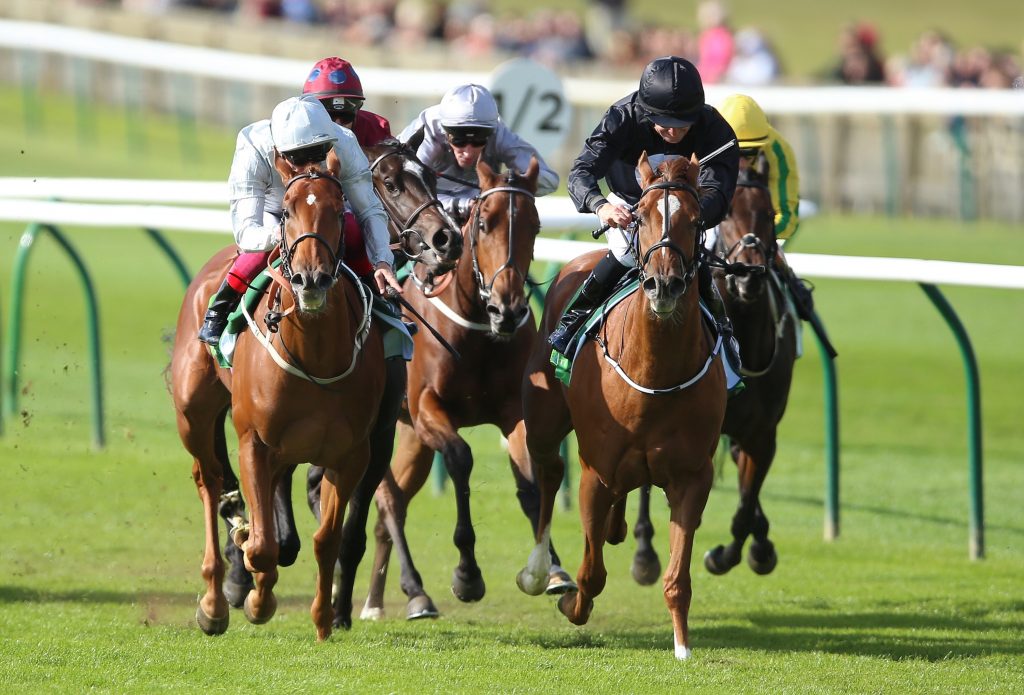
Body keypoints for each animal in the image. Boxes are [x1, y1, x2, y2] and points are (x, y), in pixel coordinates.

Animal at [171, 152, 385, 642]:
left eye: (337, 209)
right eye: (286, 211)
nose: (311, 279)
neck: (316, 357)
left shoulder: (351, 454)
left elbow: (326, 539)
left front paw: (323, 619)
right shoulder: (254, 440)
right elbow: (265, 545)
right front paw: (255, 599)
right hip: (194, 414)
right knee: (209, 482)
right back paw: (214, 600)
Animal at [362, 154, 577, 618]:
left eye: (534, 224)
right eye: (483, 223)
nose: (507, 309)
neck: (476, 328)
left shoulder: (513, 412)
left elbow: (531, 483)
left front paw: (551, 569)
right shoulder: (427, 408)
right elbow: (461, 459)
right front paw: (467, 575)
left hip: (411, 438)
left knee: (393, 505)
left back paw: (375, 598)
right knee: (387, 499)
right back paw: (412, 591)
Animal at [516, 154, 724, 659]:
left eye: (695, 221)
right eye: (642, 216)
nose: (664, 285)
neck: (655, 374)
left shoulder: (692, 476)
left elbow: (678, 577)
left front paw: (682, 646)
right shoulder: (595, 473)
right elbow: (591, 573)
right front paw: (571, 602)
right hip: (543, 421)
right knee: (548, 475)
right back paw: (538, 571)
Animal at [630, 157, 798, 581]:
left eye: (767, 214)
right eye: (728, 215)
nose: (747, 274)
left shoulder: (762, 433)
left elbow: (746, 503)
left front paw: (737, 552)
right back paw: (644, 550)